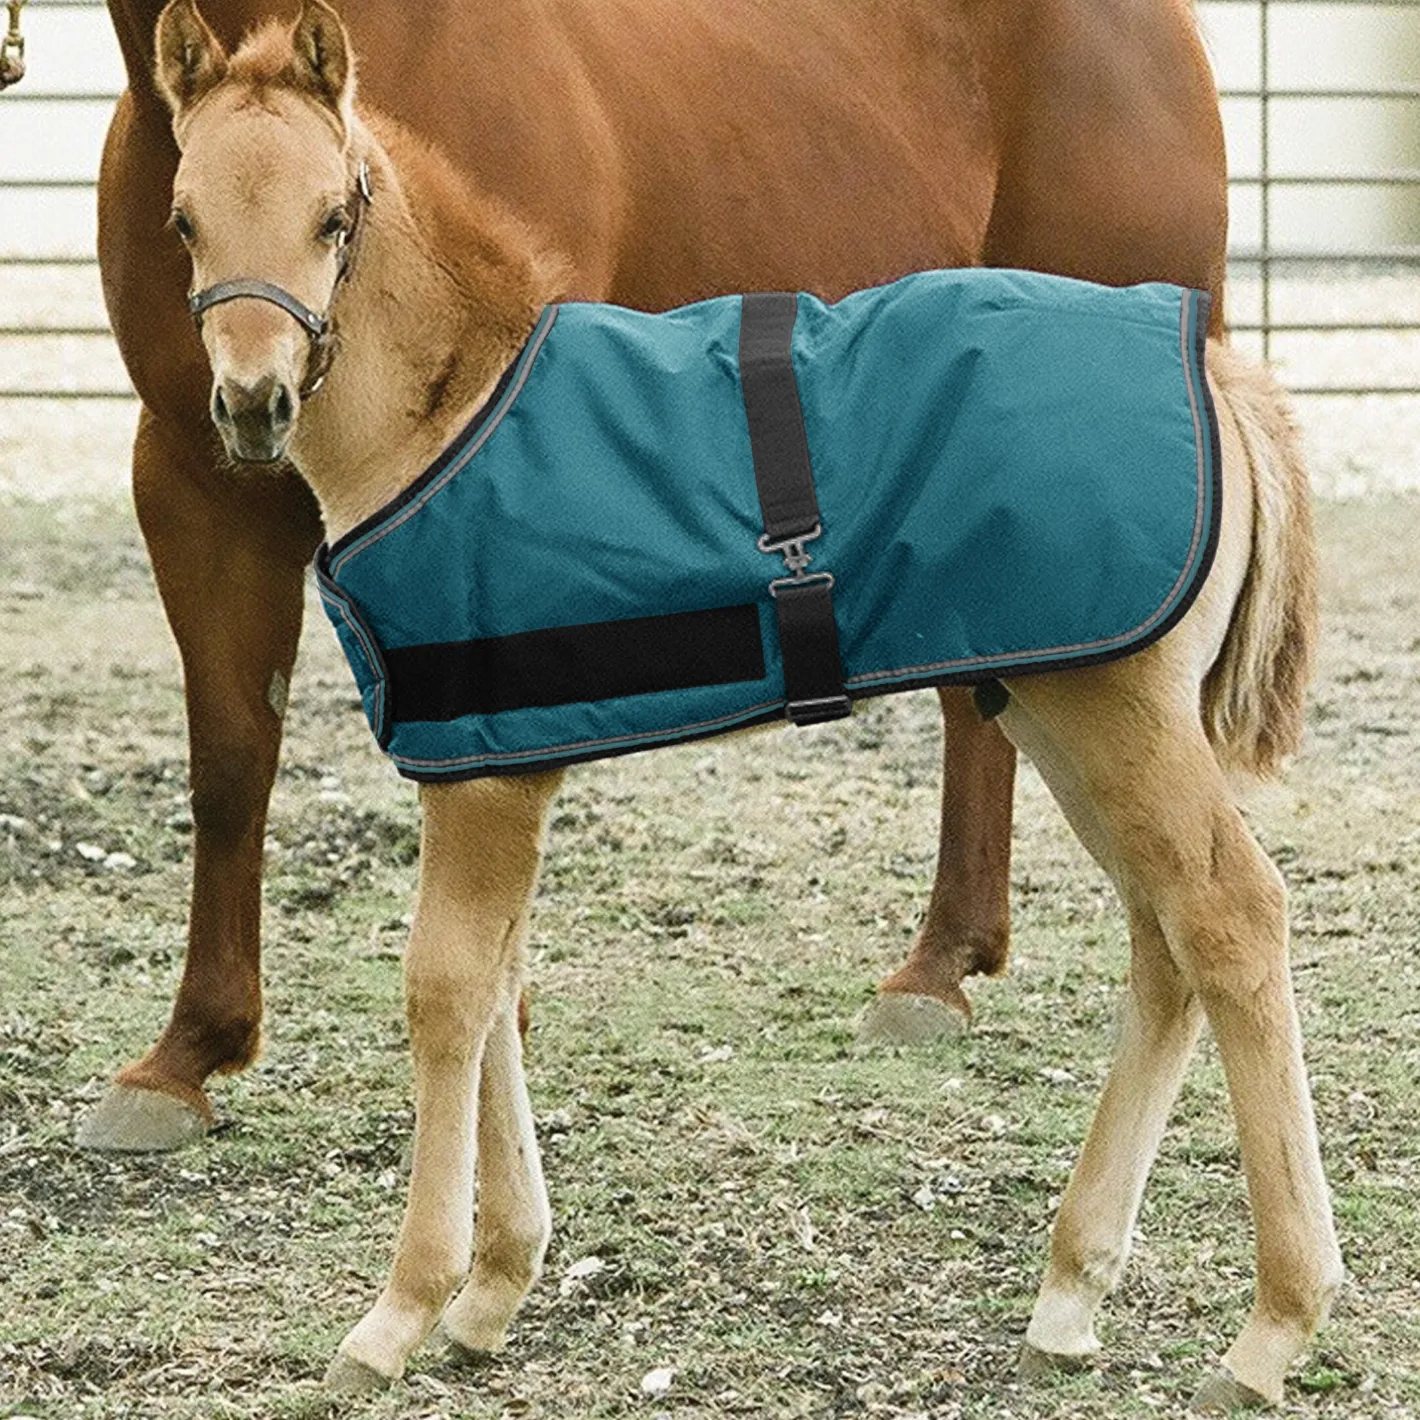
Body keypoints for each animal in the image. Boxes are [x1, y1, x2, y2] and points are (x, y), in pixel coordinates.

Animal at [153, 3, 1342, 1407]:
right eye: (182, 219)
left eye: (334, 216)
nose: (252, 406)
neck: (451, 413)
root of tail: (1217, 372)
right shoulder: (497, 763)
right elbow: (500, 983)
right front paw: (495, 1288)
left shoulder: (487, 777)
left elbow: (446, 991)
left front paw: (400, 1310)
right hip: (1061, 708)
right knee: (1165, 937)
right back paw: (1069, 1292)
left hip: (1120, 714)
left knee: (1231, 916)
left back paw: (1271, 1328)